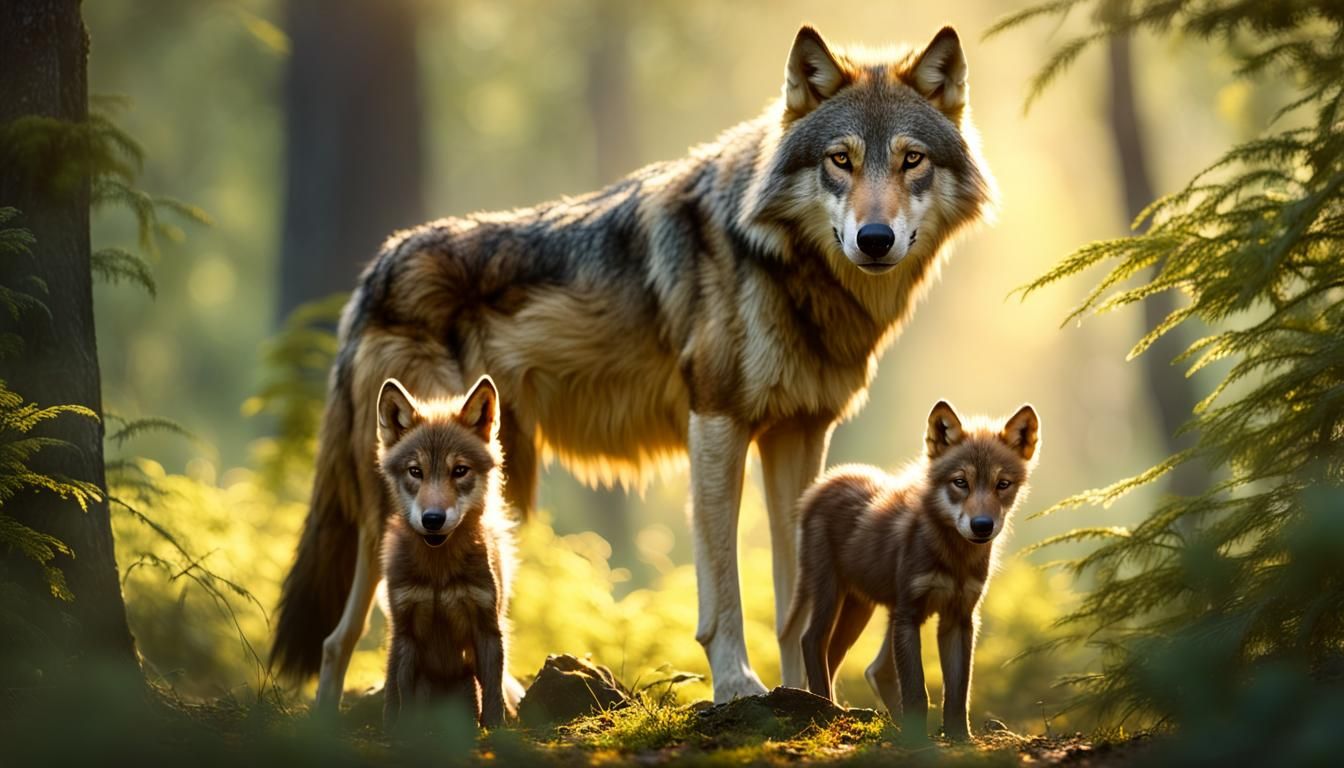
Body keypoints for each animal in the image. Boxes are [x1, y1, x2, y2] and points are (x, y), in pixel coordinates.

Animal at [375, 375, 518, 730]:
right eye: (415, 472)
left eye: (459, 471)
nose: (433, 519)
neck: (439, 575)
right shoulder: (406, 631)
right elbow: (402, 698)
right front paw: (402, 733)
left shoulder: (487, 626)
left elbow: (493, 697)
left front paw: (497, 732)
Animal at [781, 401, 1040, 740]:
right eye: (960, 482)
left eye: (1002, 485)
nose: (982, 526)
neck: (954, 560)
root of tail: (824, 483)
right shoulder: (908, 613)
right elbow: (918, 690)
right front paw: (917, 740)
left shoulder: (959, 618)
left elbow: (957, 692)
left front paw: (959, 738)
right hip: (829, 593)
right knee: (812, 641)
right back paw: (826, 709)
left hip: (860, 607)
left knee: (857, 662)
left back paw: (841, 709)